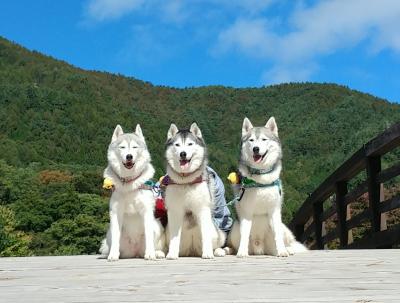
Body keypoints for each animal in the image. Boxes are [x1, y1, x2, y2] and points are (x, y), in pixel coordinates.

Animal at [100, 126, 166, 262]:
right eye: (122, 147)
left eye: (135, 147)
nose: (129, 156)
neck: (129, 183)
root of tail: (135, 252)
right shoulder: (115, 212)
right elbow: (116, 236)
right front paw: (113, 255)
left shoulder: (147, 211)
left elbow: (148, 235)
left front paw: (150, 254)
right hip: (110, 233)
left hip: (157, 225)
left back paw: (157, 253)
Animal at [162, 122, 228, 260]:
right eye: (177, 145)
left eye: (190, 144)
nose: (183, 153)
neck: (185, 181)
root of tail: (191, 250)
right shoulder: (175, 211)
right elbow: (174, 238)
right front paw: (172, 254)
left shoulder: (203, 208)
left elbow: (206, 235)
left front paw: (208, 253)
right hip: (167, 232)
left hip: (217, 233)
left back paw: (218, 251)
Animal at [228, 117, 306, 258]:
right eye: (251, 140)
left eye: (264, 139)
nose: (256, 149)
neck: (260, 180)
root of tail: (259, 247)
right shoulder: (246, 212)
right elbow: (245, 235)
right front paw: (242, 252)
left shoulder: (274, 211)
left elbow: (278, 235)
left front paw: (282, 251)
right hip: (235, 228)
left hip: (281, 228)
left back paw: (287, 249)